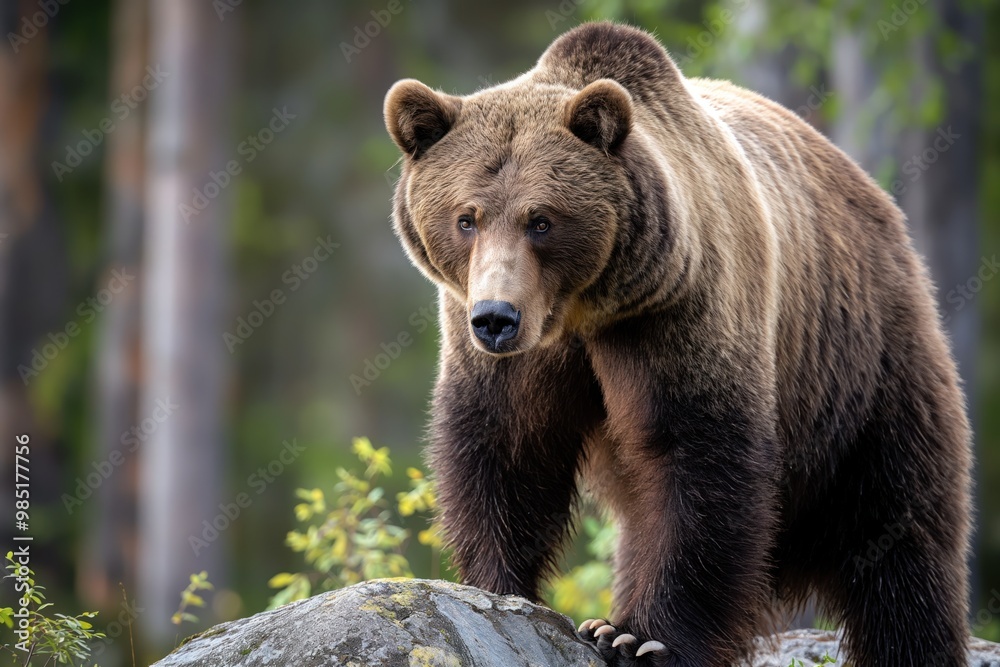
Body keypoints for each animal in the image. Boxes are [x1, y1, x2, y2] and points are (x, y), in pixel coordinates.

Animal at [383, 22, 972, 667]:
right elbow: (507, 444)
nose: (496, 318)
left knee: (901, 533)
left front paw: (637, 637)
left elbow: (697, 457)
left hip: (863, 361)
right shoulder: (519, 353)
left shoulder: (679, 312)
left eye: (541, 220)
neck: (584, 308)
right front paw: (499, 588)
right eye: (466, 218)